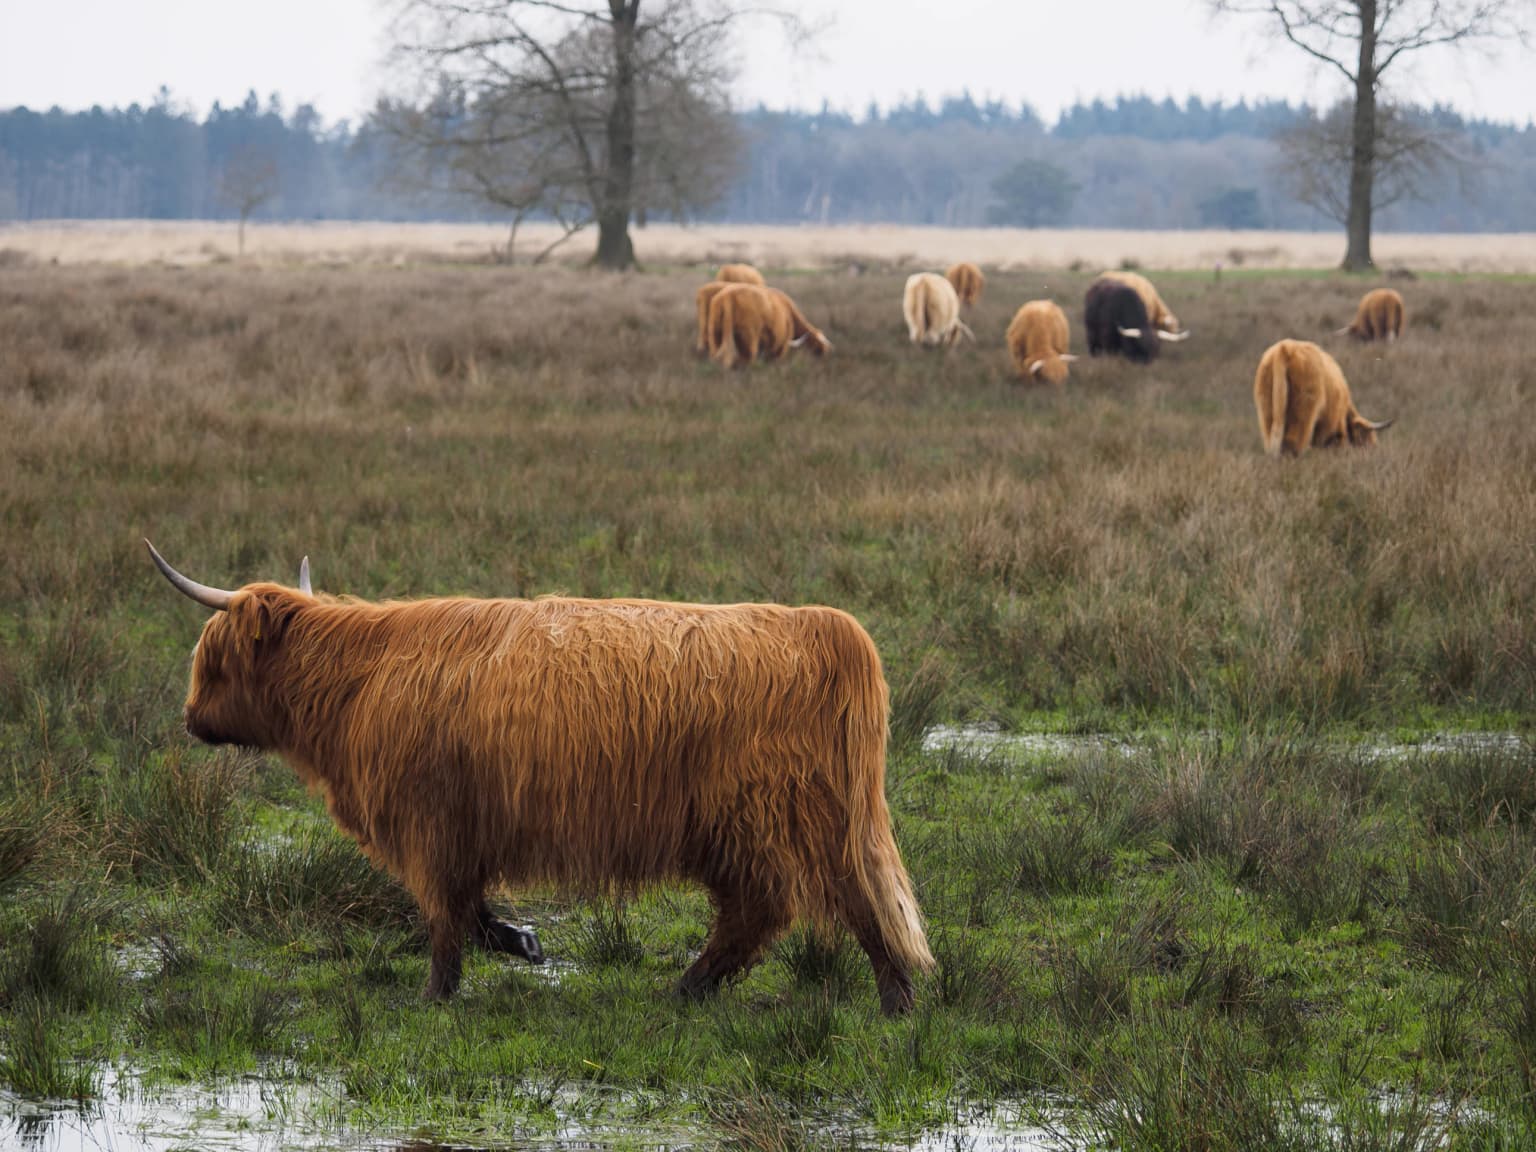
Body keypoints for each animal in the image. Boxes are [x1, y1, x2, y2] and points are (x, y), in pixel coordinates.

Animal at [146, 542, 933, 1014]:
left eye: (211, 656)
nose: (188, 718)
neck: (359, 680)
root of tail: (823, 628)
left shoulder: (431, 826)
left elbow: (446, 920)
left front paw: (437, 996)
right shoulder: (460, 833)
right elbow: (469, 911)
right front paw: (521, 944)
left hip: (774, 814)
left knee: (808, 904)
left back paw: (871, 998)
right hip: (761, 824)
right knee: (788, 908)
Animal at [1254, 338, 1394, 457]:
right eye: (1365, 439)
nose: (1374, 452)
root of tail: (1285, 348)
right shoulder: (1332, 424)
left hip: (1267, 406)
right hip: (1303, 410)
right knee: (1293, 441)